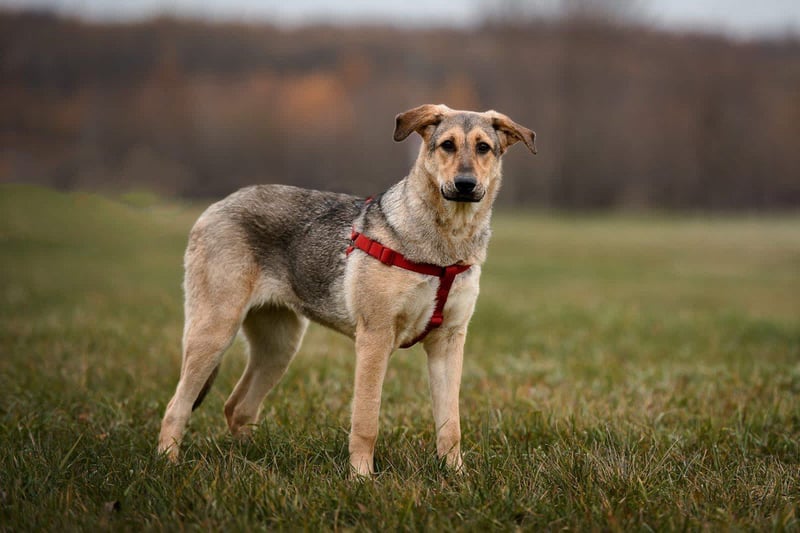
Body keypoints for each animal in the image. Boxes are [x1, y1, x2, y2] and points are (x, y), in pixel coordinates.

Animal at [157, 104, 536, 476]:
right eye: (447, 145)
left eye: (483, 148)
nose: (465, 184)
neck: (447, 241)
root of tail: (216, 206)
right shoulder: (375, 338)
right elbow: (366, 420)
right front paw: (361, 478)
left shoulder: (448, 342)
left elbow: (450, 424)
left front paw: (455, 475)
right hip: (215, 331)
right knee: (177, 405)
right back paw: (168, 464)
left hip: (279, 346)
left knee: (238, 406)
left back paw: (248, 460)